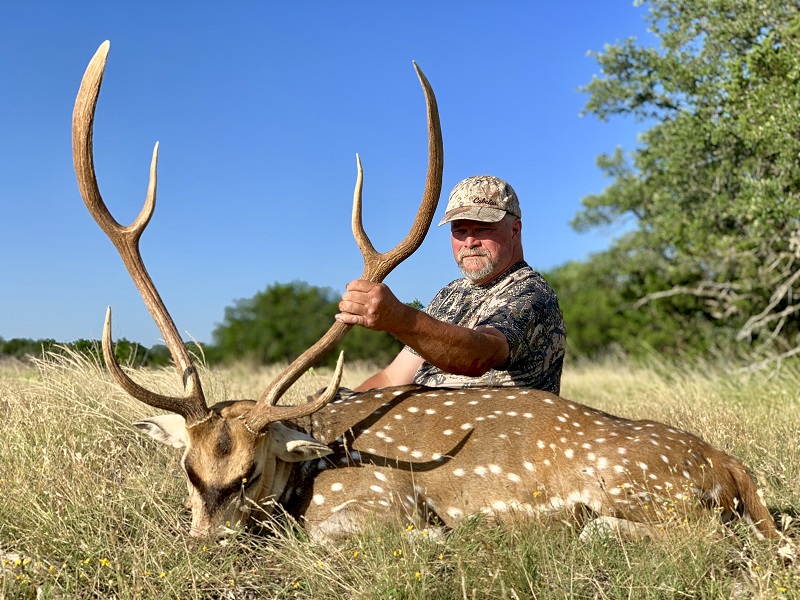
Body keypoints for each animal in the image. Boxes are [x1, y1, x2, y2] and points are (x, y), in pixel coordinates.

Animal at [73, 41, 780, 544]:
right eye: (189, 471)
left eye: (247, 473)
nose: (204, 543)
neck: (308, 469)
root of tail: (731, 467)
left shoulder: (383, 497)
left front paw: (442, 538)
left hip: (651, 490)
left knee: (696, 538)